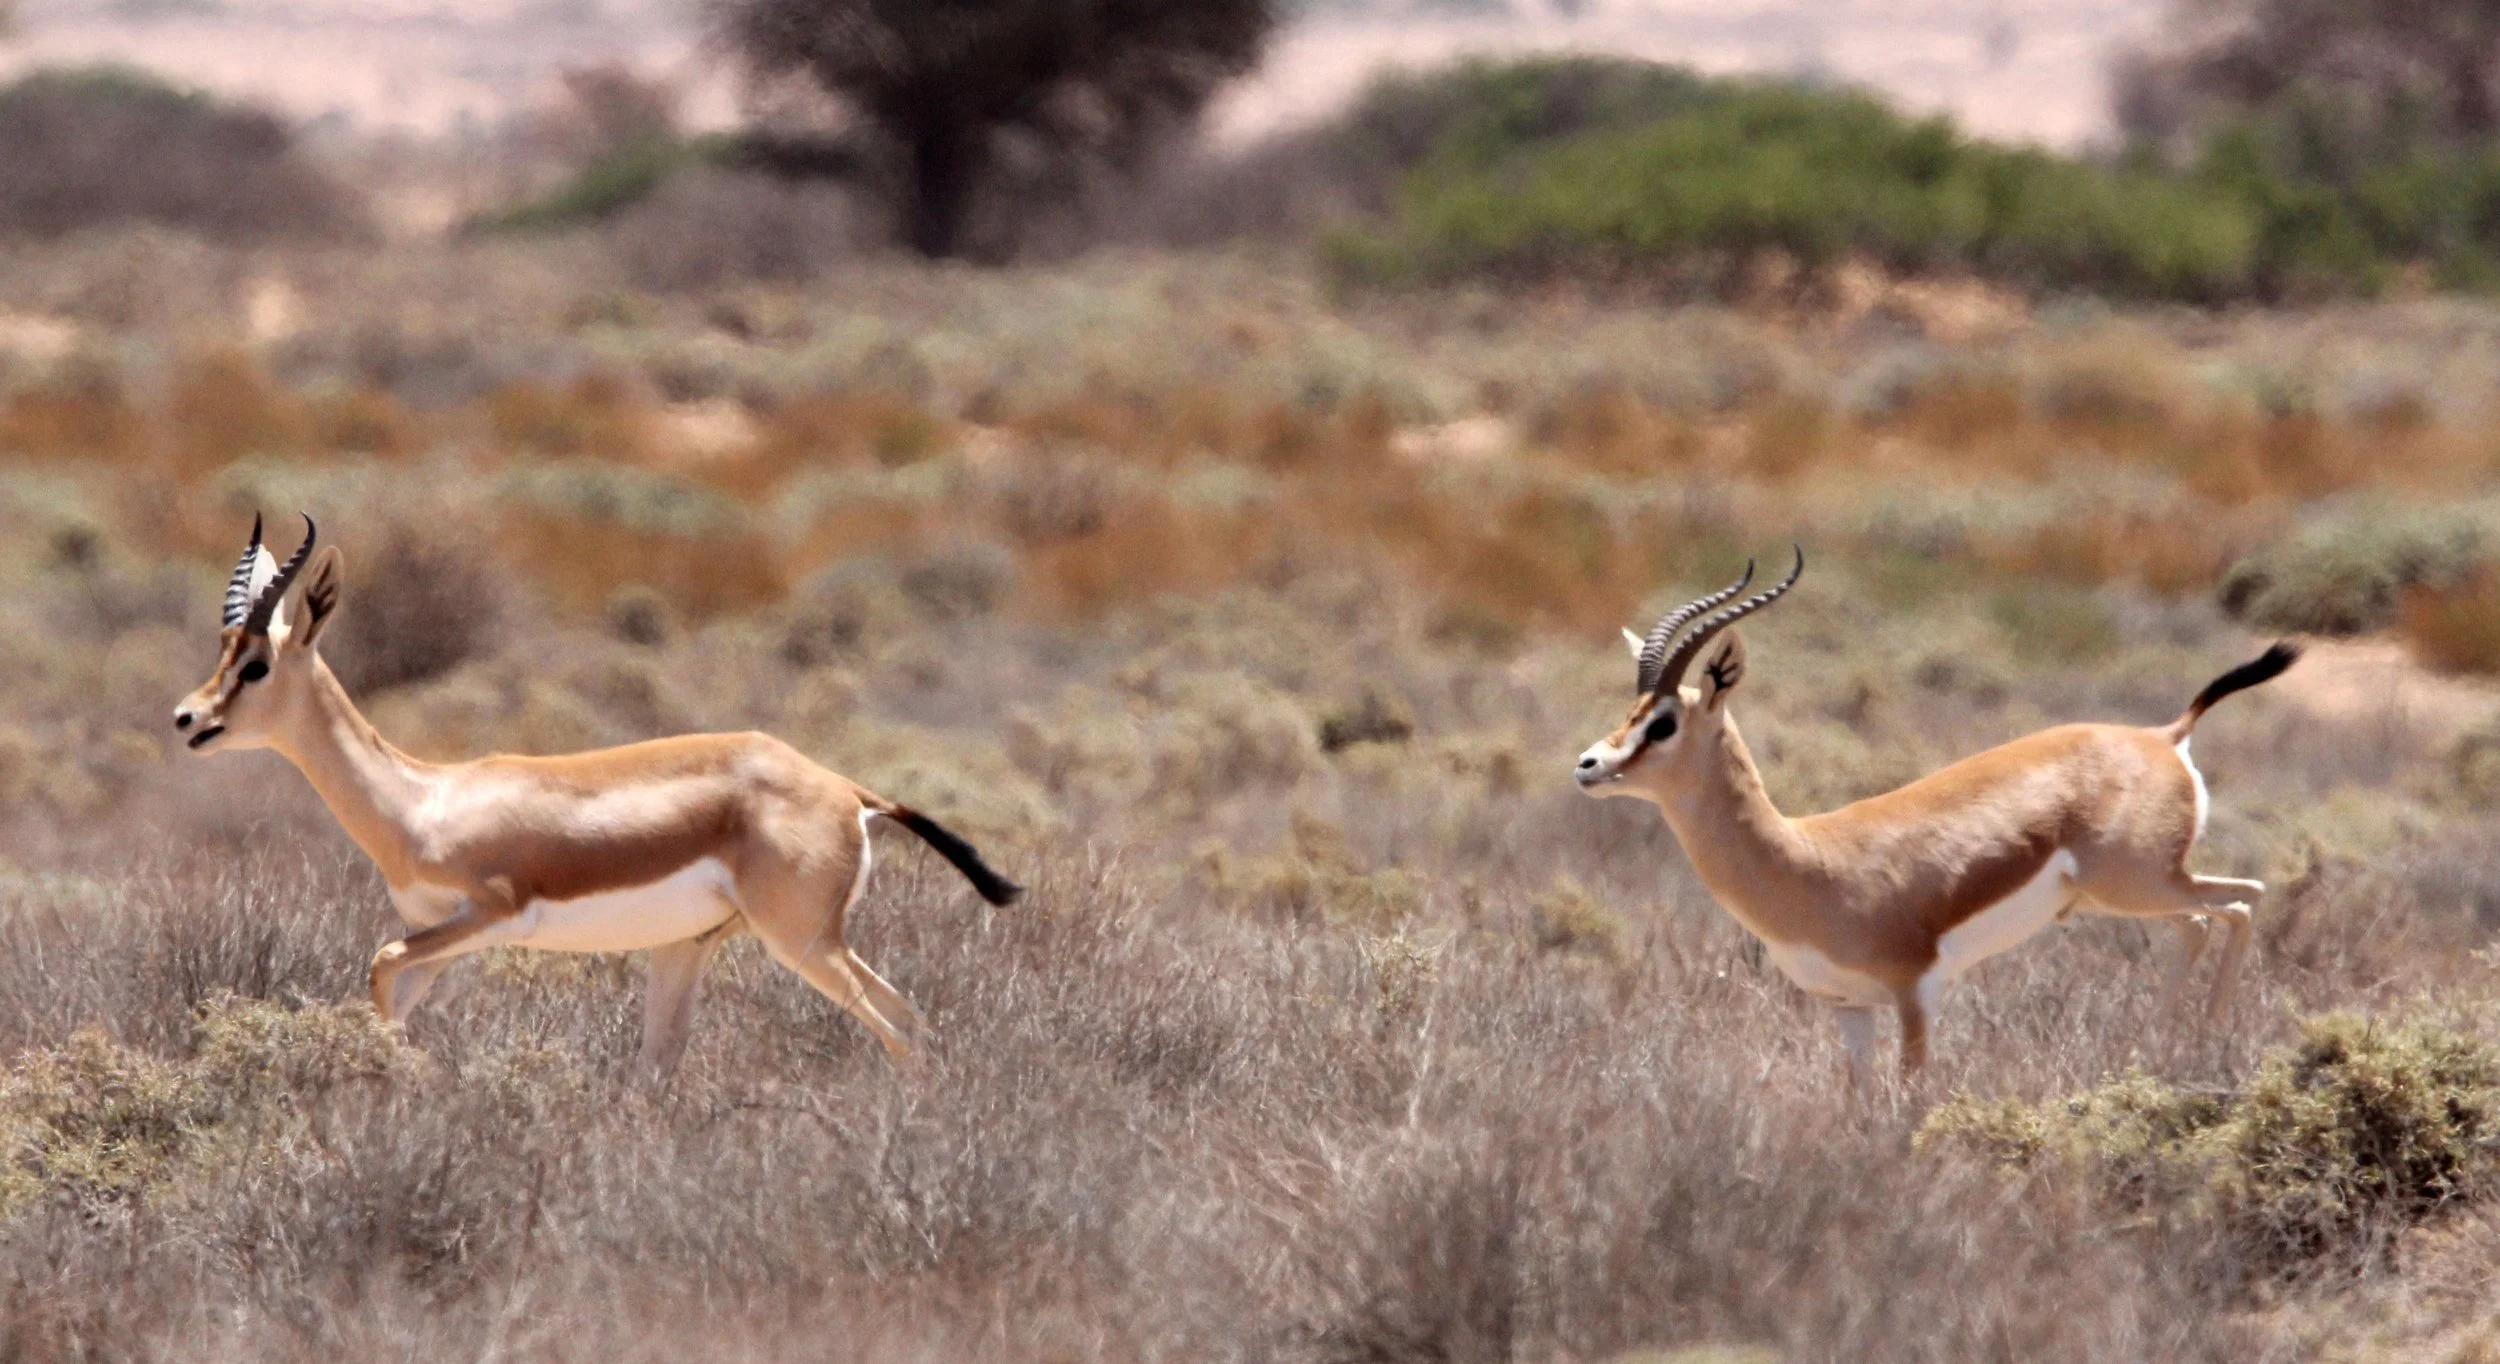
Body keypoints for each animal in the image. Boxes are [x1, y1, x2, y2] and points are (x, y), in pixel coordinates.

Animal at [173, 515, 1021, 1079]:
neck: (425, 799)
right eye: (220, 652)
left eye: (257, 666)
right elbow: (387, 996)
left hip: (801, 942)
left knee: (895, 1029)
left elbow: (378, 964)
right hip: (696, 947)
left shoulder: (490, 917)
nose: (188, 717)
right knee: (900, 1018)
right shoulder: (441, 939)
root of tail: (847, 790)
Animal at [1575, 550, 2297, 1081]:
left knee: (2241, 900)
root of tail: (2163, 735)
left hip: (2141, 883)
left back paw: (2197, 1043)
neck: (1807, 860)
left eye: (1664, 723)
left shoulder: (1915, 992)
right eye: (1632, 712)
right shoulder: (1848, 1007)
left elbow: (1914, 1098)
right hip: (2115, 898)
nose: (1588, 765)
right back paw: (2163, 1044)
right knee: (2206, 920)